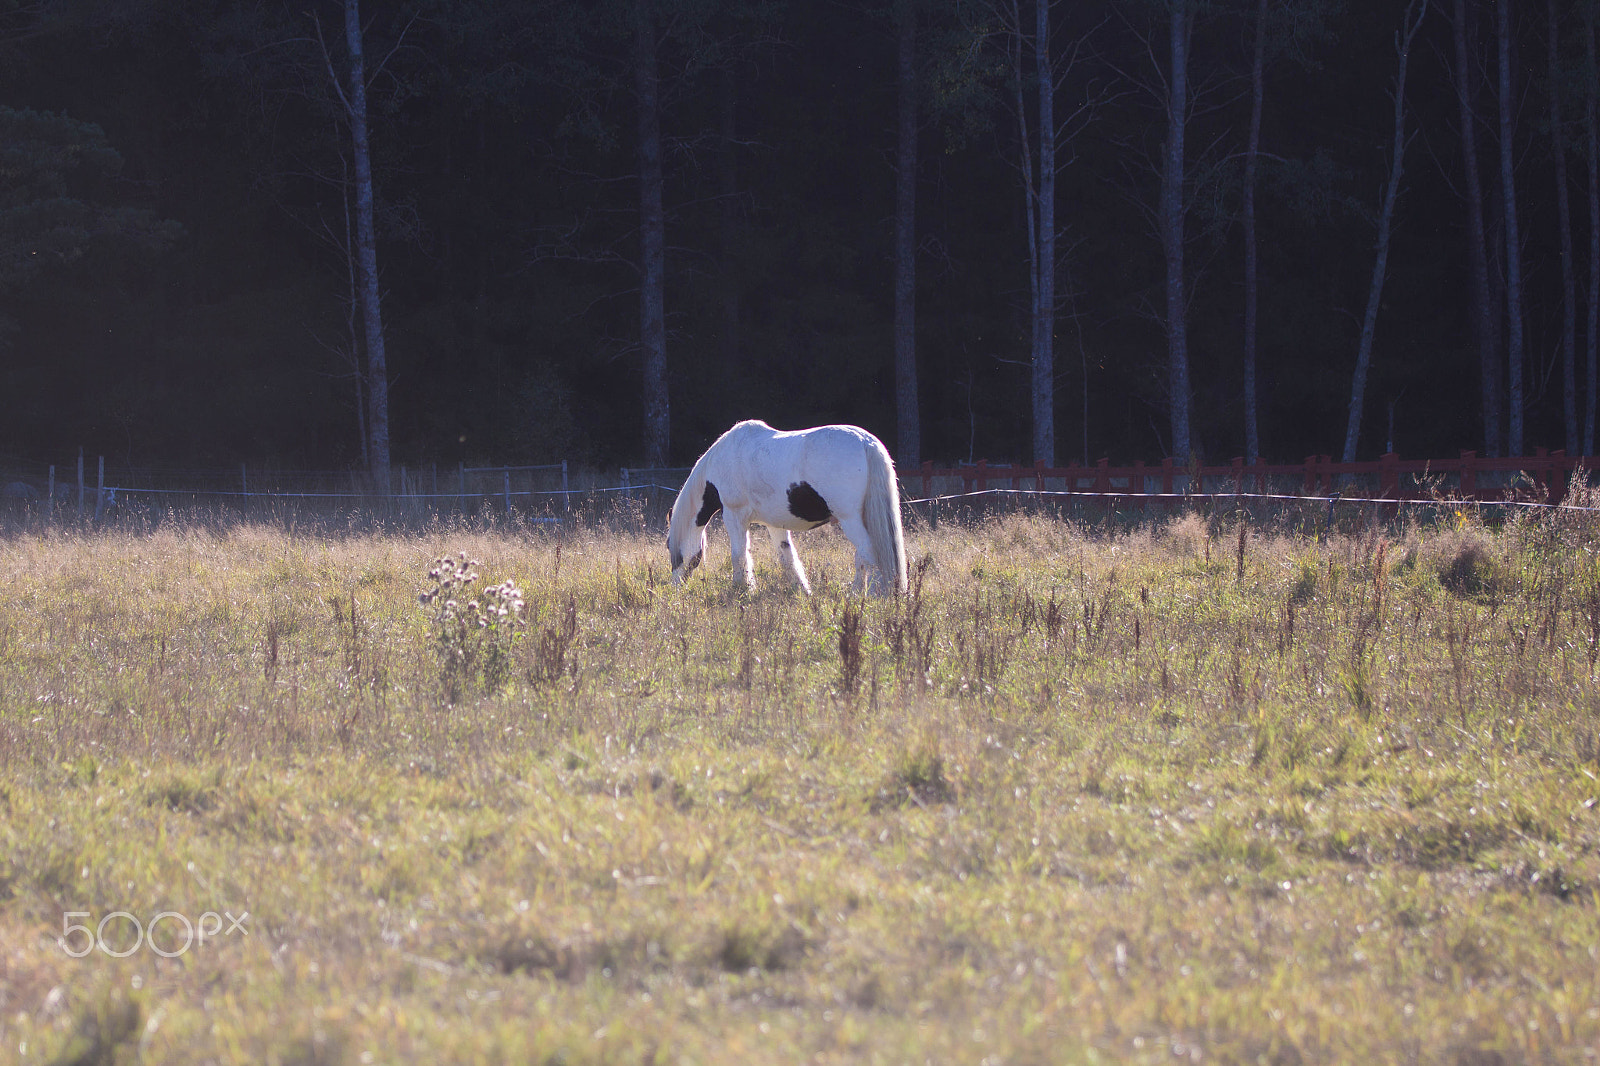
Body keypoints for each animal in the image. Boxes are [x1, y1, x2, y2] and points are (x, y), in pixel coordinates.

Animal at [668, 416, 908, 598]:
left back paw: (874, 596)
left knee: (869, 554)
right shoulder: (775, 524)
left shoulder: (734, 515)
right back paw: (857, 594)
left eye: (669, 546)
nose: (675, 587)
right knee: (863, 557)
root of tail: (866, 442)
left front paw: (742, 588)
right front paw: (802, 591)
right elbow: (787, 558)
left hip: (850, 520)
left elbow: (738, 554)